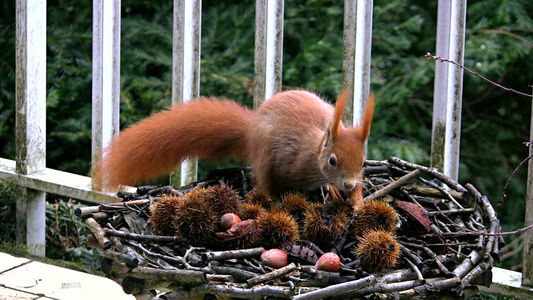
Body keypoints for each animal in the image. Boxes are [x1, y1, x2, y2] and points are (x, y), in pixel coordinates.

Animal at [92, 90, 374, 210]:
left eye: (363, 162)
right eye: (332, 160)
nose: (347, 184)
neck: (313, 151)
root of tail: (250, 128)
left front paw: (356, 201)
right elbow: (271, 187)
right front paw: (278, 204)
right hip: (262, 151)